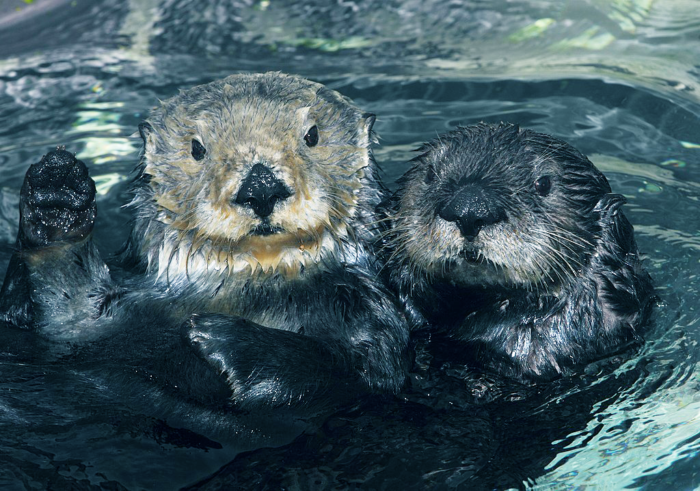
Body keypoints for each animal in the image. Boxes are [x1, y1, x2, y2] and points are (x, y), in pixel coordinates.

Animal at [0, 72, 410, 422]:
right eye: (197, 148)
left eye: (312, 136)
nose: (260, 188)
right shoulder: (98, 322)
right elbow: (65, 313)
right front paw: (57, 191)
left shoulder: (369, 313)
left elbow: (363, 376)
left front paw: (226, 339)